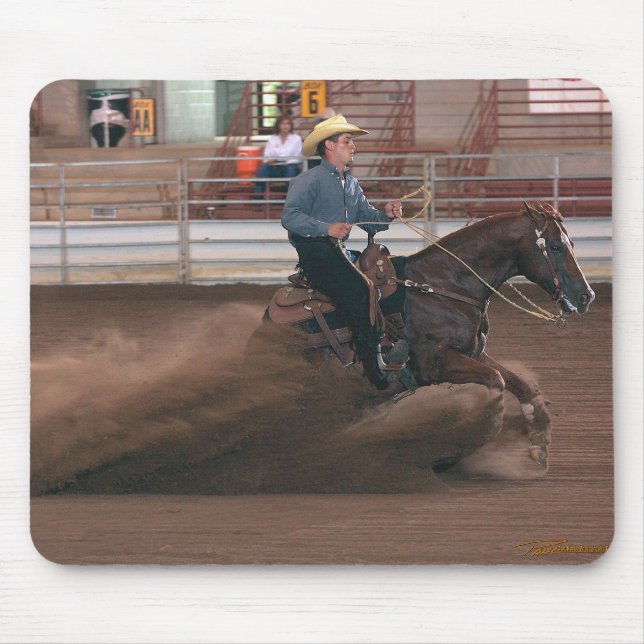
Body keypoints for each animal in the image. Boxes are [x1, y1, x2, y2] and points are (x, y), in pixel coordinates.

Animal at [263, 202, 595, 471]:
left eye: (571, 242)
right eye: (555, 247)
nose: (585, 296)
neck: (444, 286)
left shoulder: (473, 353)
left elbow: (519, 385)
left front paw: (539, 446)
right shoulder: (434, 364)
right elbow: (497, 383)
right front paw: (452, 453)